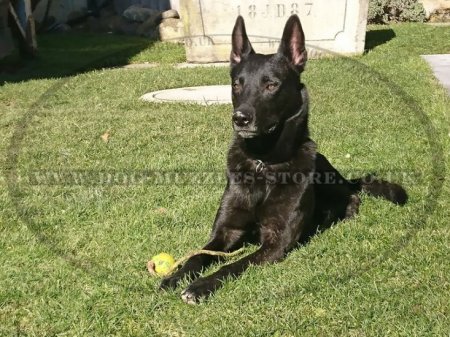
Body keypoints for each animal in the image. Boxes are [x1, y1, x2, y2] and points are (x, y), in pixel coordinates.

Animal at [160, 14, 406, 304]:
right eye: (236, 84)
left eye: (271, 85)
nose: (240, 118)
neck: (263, 164)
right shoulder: (226, 230)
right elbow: (198, 255)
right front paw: (176, 276)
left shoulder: (276, 242)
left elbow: (234, 264)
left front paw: (200, 286)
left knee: (352, 196)